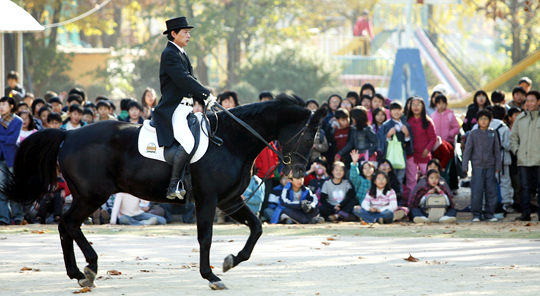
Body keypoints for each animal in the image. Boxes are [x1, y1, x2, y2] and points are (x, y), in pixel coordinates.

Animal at [1, 94, 324, 290]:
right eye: (309, 136)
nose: (297, 173)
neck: (231, 140)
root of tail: (68, 134)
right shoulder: (208, 199)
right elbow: (205, 237)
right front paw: (211, 275)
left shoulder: (230, 200)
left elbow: (256, 227)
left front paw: (231, 260)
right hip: (93, 196)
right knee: (69, 223)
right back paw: (89, 268)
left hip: (84, 196)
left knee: (64, 225)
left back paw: (78, 273)